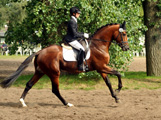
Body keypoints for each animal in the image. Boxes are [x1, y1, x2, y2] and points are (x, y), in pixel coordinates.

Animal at [0, 20, 128, 107]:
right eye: (124, 34)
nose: (126, 48)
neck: (98, 46)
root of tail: (41, 51)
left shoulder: (101, 69)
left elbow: (108, 83)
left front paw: (116, 97)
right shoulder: (102, 67)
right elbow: (118, 73)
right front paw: (118, 89)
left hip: (40, 72)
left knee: (29, 84)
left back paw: (22, 102)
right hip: (54, 73)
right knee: (55, 90)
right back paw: (67, 103)